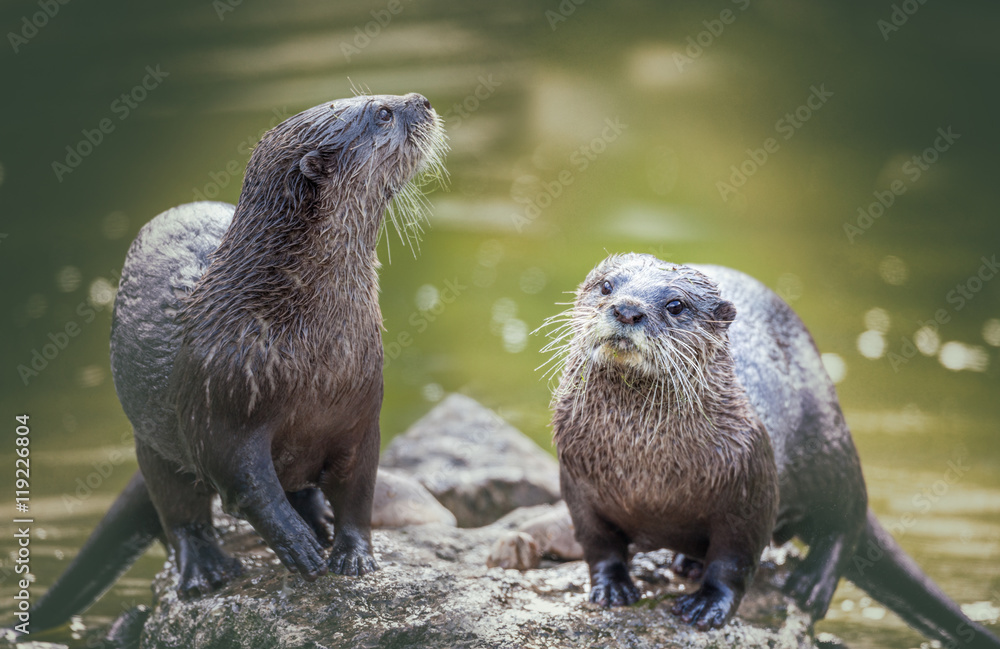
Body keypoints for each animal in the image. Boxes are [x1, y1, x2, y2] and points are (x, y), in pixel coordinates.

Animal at [28, 93, 448, 632]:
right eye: (381, 113)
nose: (422, 100)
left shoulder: (359, 412)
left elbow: (359, 487)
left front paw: (353, 553)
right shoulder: (220, 401)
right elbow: (246, 484)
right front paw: (298, 547)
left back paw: (318, 518)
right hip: (151, 446)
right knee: (178, 508)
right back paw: (206, 569)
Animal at [546, 253, 1000, 647]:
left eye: (676, 305)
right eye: (607, 286)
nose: (627, 309)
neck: (642, 464)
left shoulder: (751, 482)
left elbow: (735, 558)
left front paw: (708, 606)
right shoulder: (577, 481)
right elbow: (598, 543)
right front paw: (611, 587)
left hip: (831, 444)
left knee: (848, 515)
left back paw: (811, 584)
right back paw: (686, 562)